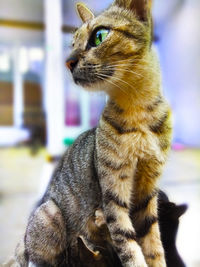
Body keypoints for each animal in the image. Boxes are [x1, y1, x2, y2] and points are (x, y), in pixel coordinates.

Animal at [11, 0, 173, 267]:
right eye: (73, 44)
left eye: (99, 36)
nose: (68, 62)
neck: (138, 111)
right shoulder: (113, 192)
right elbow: (129, 245)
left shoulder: (148, 192)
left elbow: (154, 247)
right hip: (49, 215)